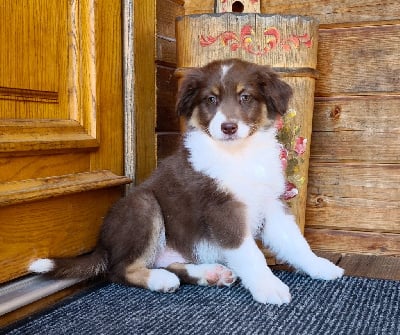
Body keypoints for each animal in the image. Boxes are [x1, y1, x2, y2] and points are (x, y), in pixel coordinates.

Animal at [28, 59, 344, 306]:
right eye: (211, 100)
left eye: (245, 97)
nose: (228, 127)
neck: (239, 154)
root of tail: (102, 245)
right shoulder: (222, 210)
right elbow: (251, 254)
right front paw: (269, 287)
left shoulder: (271, 204)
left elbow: (296, 243)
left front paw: (322, 267)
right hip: (144, 205)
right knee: (119, 270)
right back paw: (159, 279)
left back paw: (209, 273)